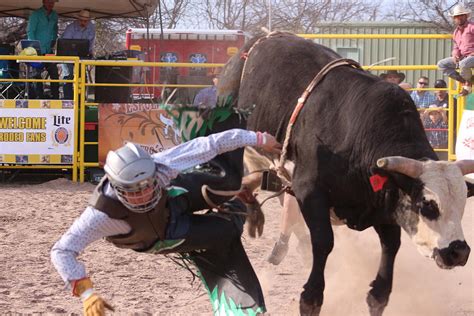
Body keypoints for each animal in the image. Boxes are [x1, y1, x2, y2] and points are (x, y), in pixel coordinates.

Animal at [218, 33, 470, 314]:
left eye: (462, 204)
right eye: (428, 204)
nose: (459, 251)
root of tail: (259, 39)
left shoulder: (382, 202)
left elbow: (391, 245)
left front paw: (378, 295)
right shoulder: (310, 191)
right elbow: (323, 241)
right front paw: (310, 298)